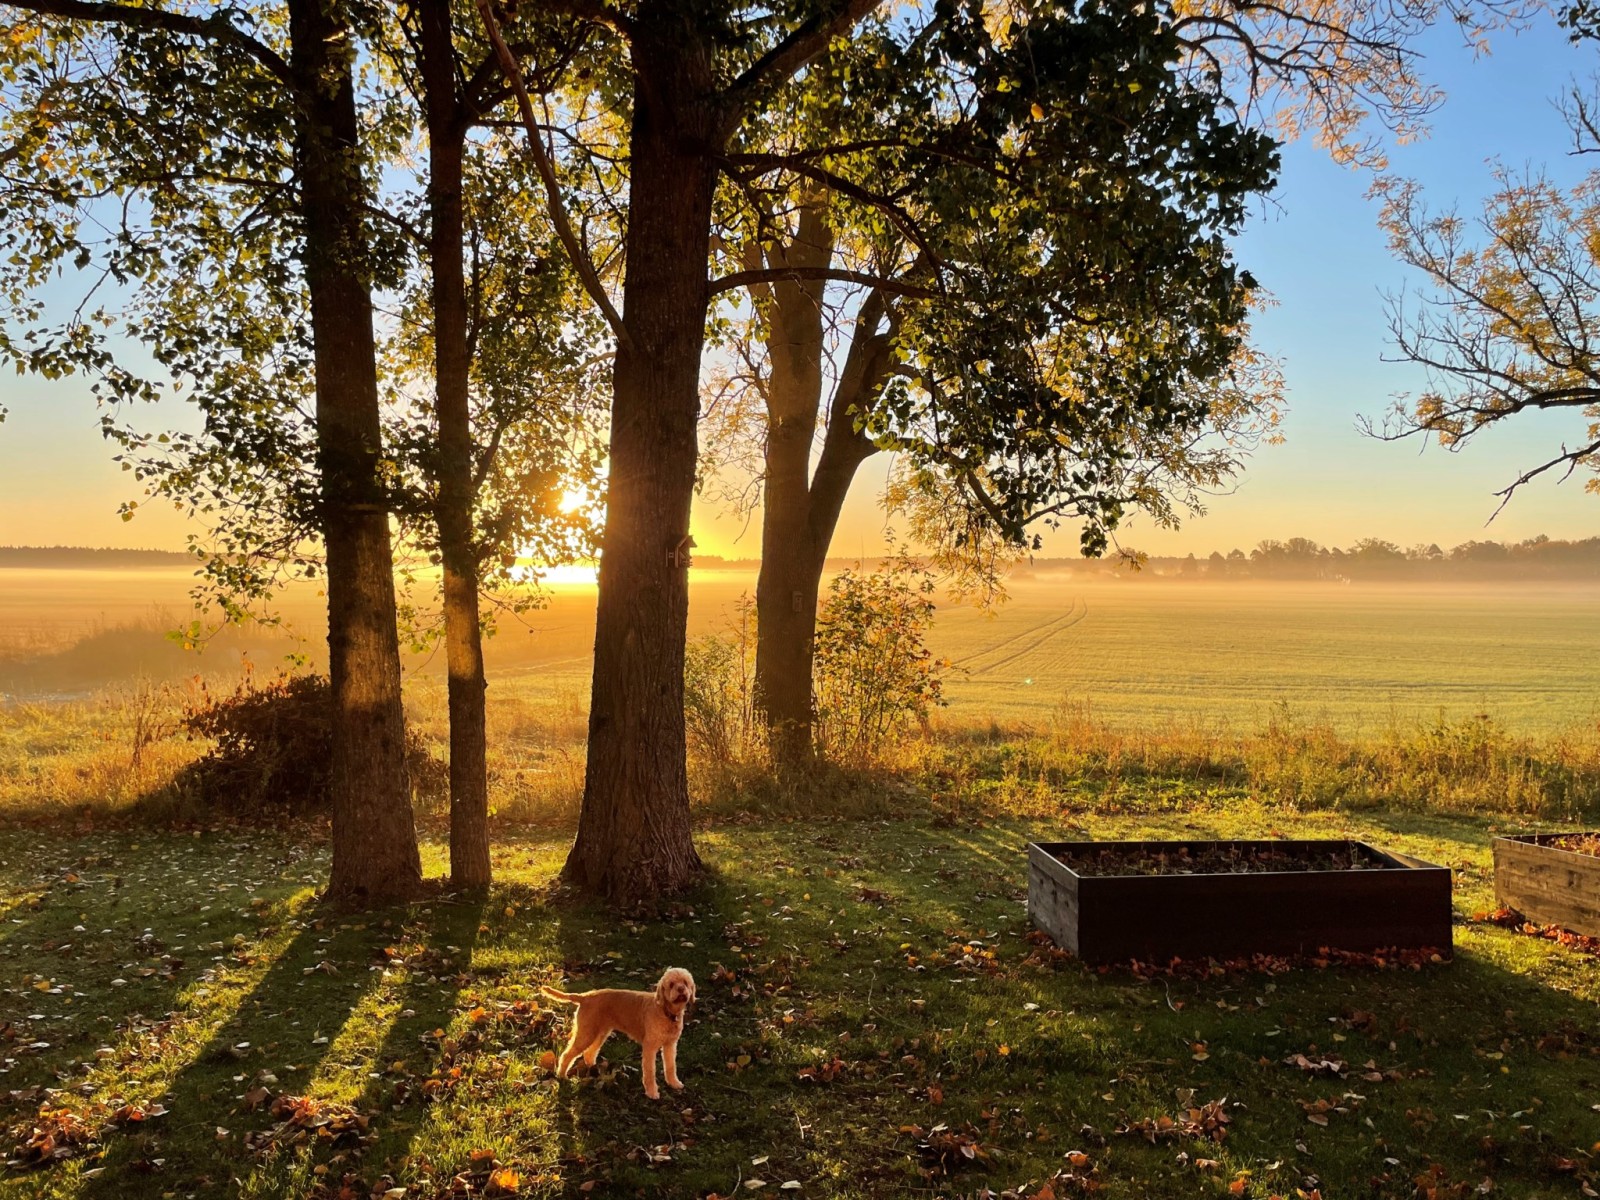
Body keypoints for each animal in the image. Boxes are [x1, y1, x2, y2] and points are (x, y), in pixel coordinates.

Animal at [544, 966, 694, 1100]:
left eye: (685, 982)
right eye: (671, 984)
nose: (681, 989)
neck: (664, 1010)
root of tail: (585, 996)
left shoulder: (670, 1045)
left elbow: (671, 1066)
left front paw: (674, 1083)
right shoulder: (650, 1047)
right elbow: (650, 1072)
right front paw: (652, 1092)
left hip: (600, 1032)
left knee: (589, 1052)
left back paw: (593, 1067)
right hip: (587, 1033)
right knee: (567, 1055)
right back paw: (561, 1075)